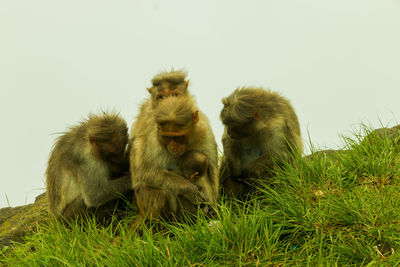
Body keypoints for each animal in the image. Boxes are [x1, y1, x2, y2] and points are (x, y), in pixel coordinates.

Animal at [130, 95, 219, 223]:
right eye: (167, 137)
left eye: (178, 137)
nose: (173, 147)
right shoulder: (153, 138)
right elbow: (146, 173)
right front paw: (189, 189)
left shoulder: (205, 130)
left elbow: (212, 172)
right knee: (162, 192)